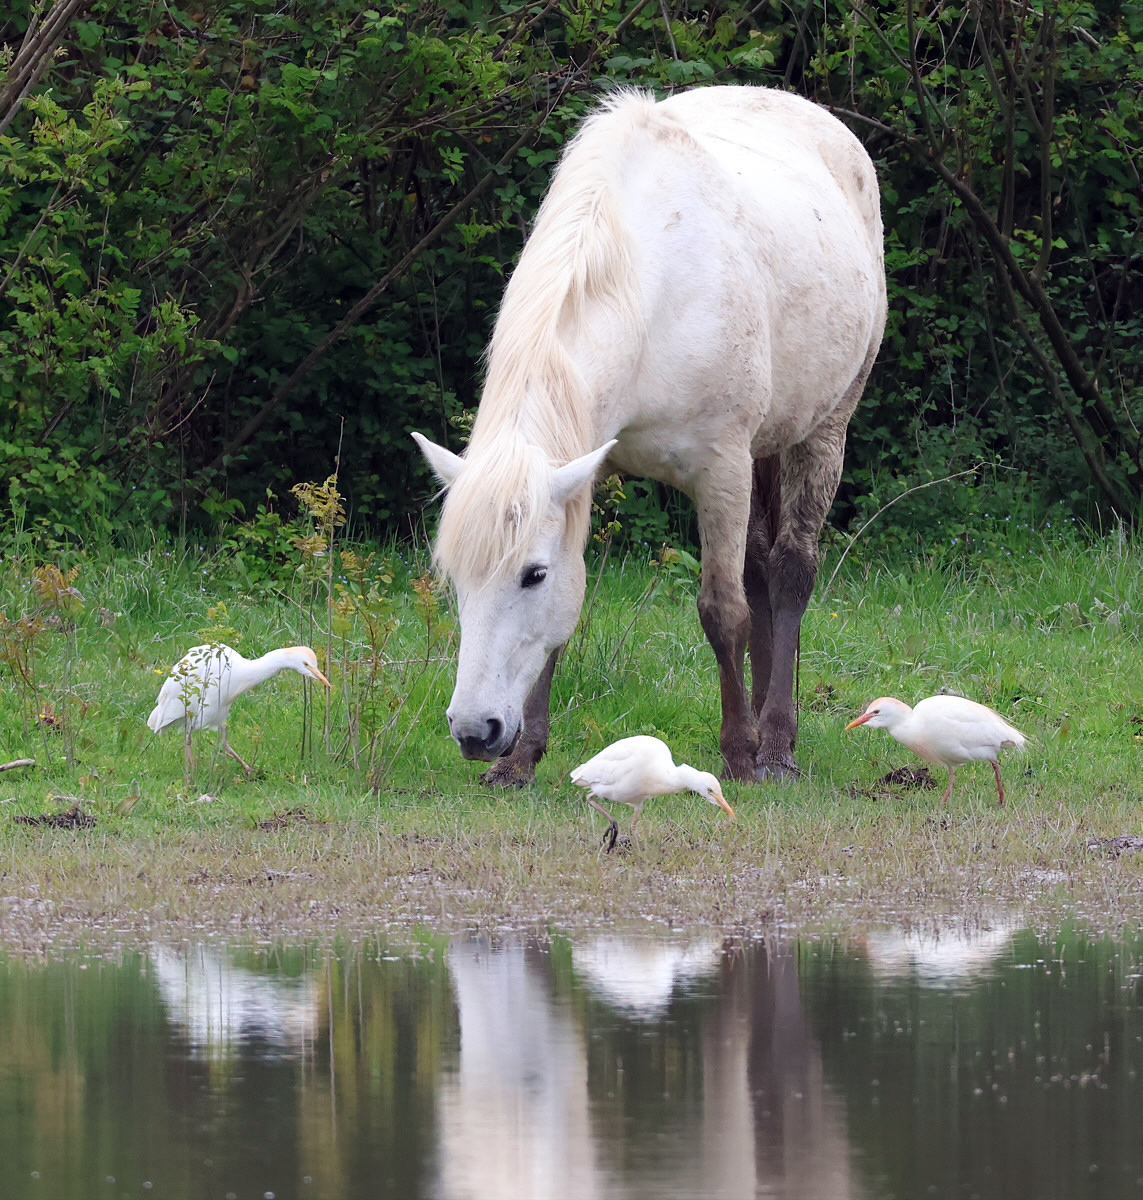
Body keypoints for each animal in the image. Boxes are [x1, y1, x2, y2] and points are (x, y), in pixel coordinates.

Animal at [415, 84, 888, 782]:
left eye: (532, 574)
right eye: (455, 577)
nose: (476, 731)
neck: (646, 290)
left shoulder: (720, 470)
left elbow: (723, 612)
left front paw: (740, 754)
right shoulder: (587, 470)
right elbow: (568, 621)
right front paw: (521, 761)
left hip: (823, 431)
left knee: (787, 573)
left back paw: (775, 742)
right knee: (760, 571)